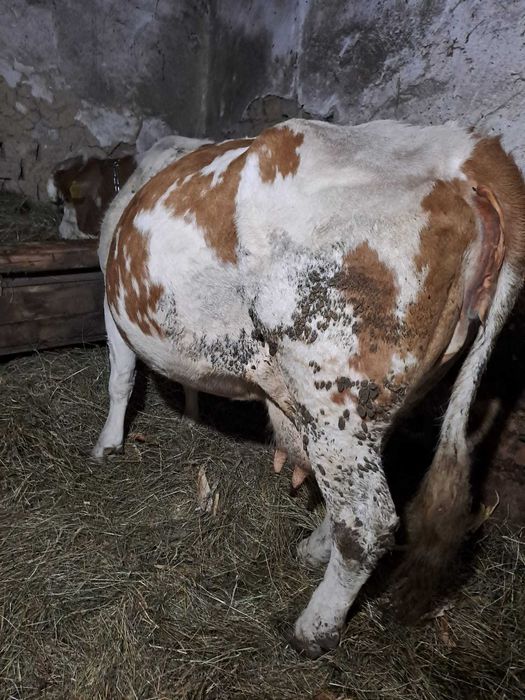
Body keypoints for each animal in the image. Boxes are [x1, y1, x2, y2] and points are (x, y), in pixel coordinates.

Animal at [92, 118, 525, 657]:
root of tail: (470, 150)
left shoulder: (111, 300)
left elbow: (120, 378)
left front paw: (107, 445)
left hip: (331, 387)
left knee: (367, 518)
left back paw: (313, 629)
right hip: (377, 403)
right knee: (352, 496)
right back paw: (315, 549)